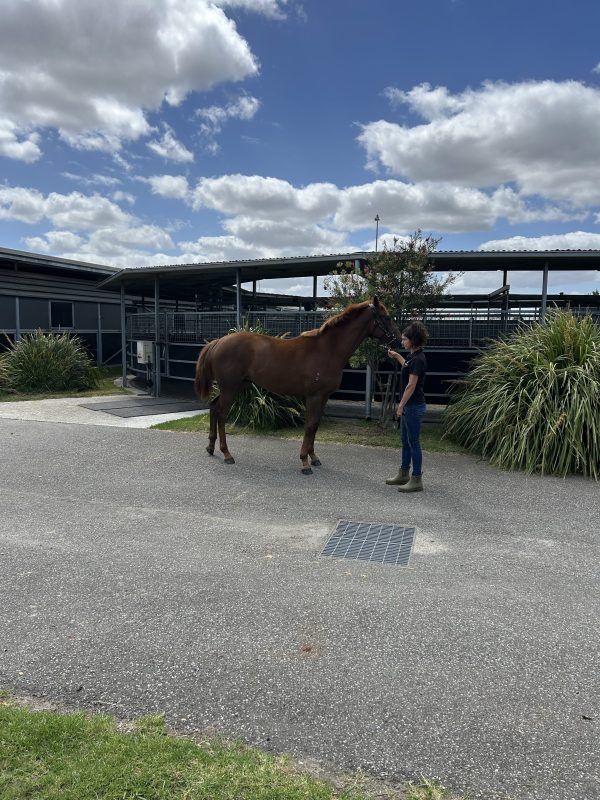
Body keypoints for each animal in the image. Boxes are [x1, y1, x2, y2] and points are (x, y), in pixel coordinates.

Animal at [195, 300, 400, 476]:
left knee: (213, 408)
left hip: (234, 387)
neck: (327, 350)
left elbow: (315, 425)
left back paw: (211, 448)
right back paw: (227, 454)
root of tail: (218, 342)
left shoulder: (323, 396)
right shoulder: (314, 397)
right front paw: (304, 462)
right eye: (387, 317)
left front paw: (314, 458)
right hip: (230, 389)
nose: (398, 342)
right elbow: (309, 426)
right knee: (221, 415)